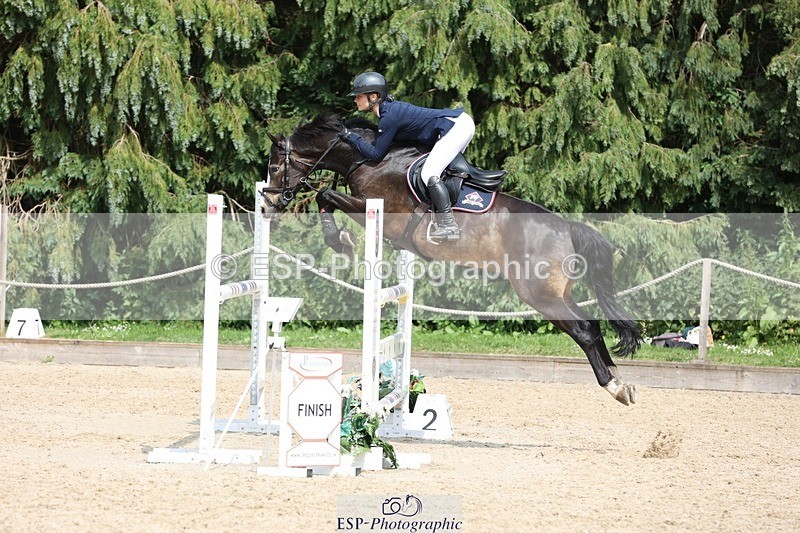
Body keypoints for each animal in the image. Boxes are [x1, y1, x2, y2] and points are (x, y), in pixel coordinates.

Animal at [263, 114, 642, 405]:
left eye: (275, 165)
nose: (267, 204)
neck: (370, 159)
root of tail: (568, 228)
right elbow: (325, 196)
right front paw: (340, 240)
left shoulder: (379, 213)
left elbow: (325, 194)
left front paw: (340, 241)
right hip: (557, 293)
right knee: (592, 325)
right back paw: (621, 382)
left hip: (539, 294)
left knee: (583, 330)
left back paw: (614, 386)